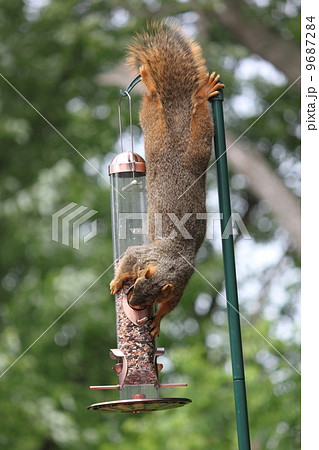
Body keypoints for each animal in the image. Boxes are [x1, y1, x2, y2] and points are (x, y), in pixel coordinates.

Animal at [110, 22, 225, 338]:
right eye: (134, 286)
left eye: (147, 298)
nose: (131, 304)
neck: (168, 263)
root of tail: (176, 119)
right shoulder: (142, 253)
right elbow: (129, 256)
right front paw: (116, 280)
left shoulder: (179, 286)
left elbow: (171, 306)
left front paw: (158, 320)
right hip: (156, 125)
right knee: (154, 98)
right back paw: (158, 81)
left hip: (196, 140)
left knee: (194, 109)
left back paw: (201, 91)